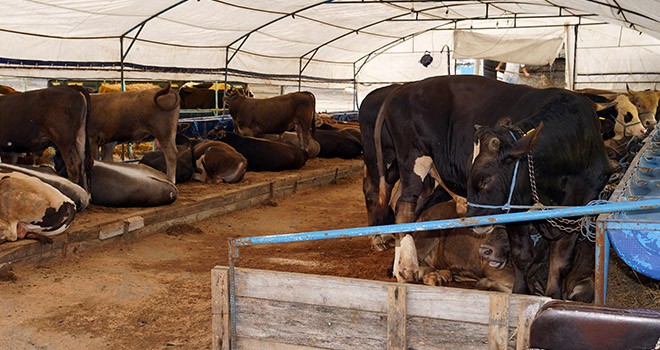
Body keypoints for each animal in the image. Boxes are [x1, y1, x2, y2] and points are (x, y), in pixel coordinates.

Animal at [466, 89, 612, 300]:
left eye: (486, 179)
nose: (471, 222)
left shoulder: (578, 206)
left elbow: (560, 262)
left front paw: (553, 295)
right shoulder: (516, 208)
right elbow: (521, 257)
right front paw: (520, 293)